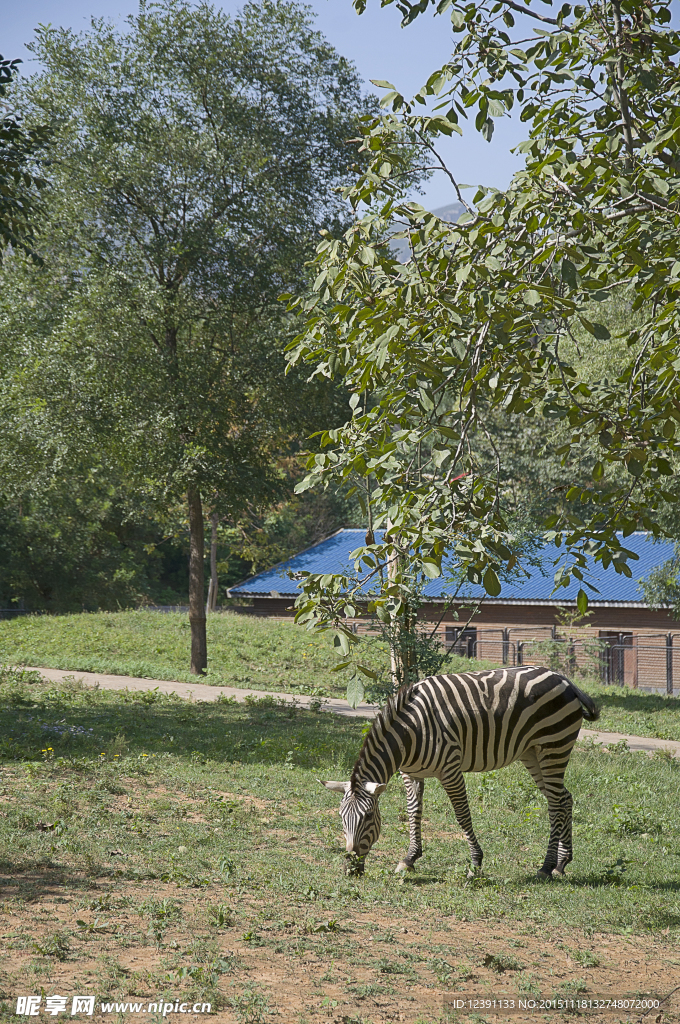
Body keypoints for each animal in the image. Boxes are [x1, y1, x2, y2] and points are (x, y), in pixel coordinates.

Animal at [321, 663, 598, 880]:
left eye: (368, 817)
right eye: (341, 817)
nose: (351, 869)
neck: (410, 733)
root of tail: (564, 679)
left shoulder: (450, 770)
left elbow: (462, 815)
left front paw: (475, 863)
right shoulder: (411, 773)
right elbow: (413, 812)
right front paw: (409, 859)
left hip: (554, 746)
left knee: (557, 803)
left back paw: (547, 866)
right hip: (532, 753)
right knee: (563, 799)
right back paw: (560, 864)